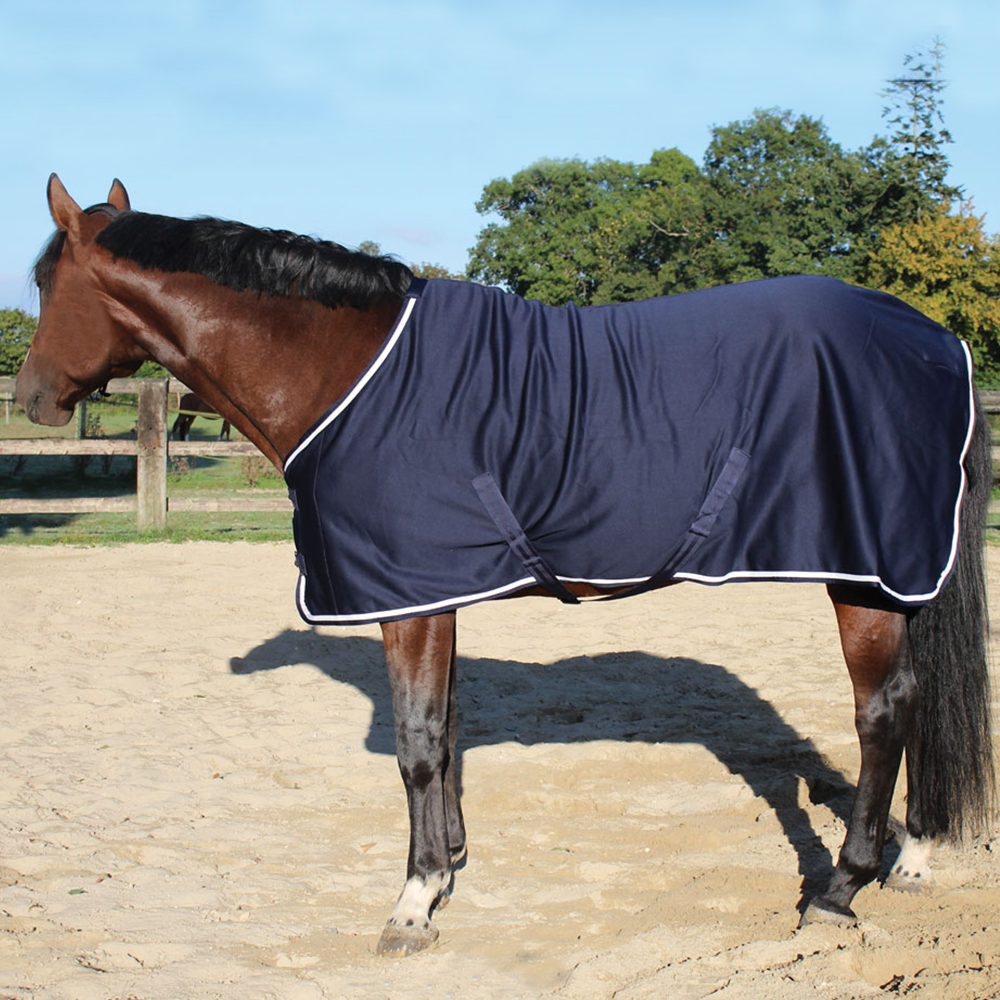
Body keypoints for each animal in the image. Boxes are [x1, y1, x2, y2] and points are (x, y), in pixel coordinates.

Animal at [16, 176, 994, 958]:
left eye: (43, 282)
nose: (28, 398)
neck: (347, 373)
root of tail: (938, 342)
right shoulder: (436, 590)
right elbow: (447, 733)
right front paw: (448, 868)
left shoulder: (408, 597)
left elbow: (416, 745)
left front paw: (412, 904)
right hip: (894, 579)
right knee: (913, 704)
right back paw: (912, 858)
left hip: (863, 575)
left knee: (882, 715)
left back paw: (840, 888)